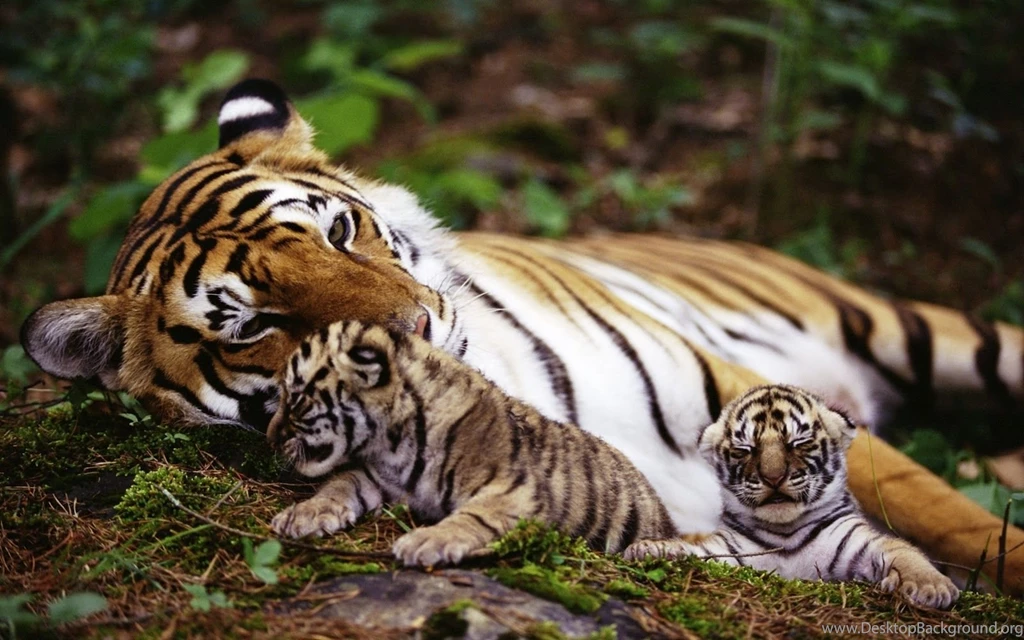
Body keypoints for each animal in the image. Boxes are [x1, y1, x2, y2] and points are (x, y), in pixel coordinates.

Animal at [267, 319, 678, 565]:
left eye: (296, 398)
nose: (270, 437)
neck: (391, 442)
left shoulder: (515, 491)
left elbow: (472, 517)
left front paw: (423, 542)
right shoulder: (375, 476)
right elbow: (339, 484)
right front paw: (304, 515)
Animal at [624, 385, 960, 609]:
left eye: (798, 442)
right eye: (745, 449)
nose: (773, 478)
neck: (785, 534)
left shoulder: (860, 542)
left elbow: (903, 550)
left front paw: (930, 587)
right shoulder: (728, 552)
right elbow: (696, 549)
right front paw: (651, 548)